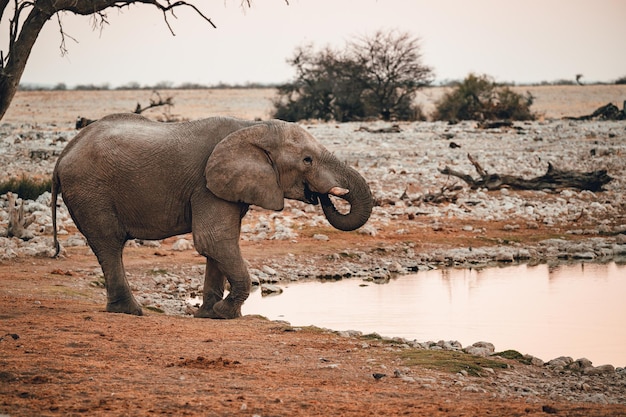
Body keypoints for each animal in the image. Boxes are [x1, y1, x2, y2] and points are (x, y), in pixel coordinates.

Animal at [51, 114, 370, 318]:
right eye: (307, 160)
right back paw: (131, 311)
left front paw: (210, 314)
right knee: (110, 243)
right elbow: (214, 240)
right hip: (91, 190)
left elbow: (221, 243)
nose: (321, 195)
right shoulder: (206, 185)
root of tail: (63, 154)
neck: (252, 127)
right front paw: (224, 313)